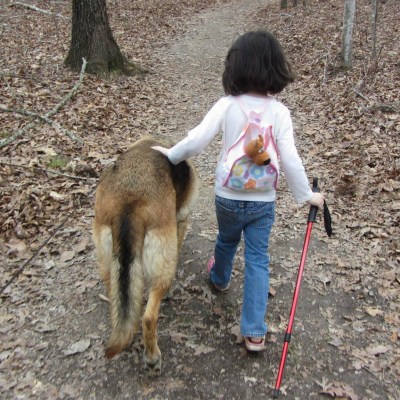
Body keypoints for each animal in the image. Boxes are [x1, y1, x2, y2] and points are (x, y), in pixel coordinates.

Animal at [94, 138, 200, 376]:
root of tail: (129, 203)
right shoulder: (181, 221)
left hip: (109, 263)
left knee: (122, 306)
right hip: (163, 267)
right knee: (149, 317)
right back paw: (152, 358)